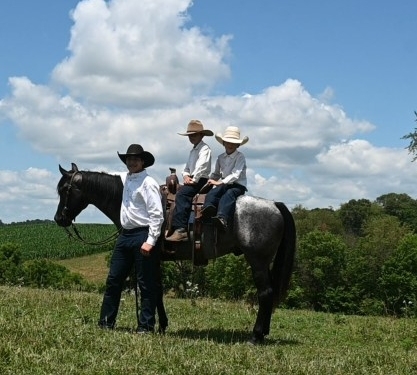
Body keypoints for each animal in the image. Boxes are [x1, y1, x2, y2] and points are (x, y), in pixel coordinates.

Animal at [54, 163, 296, 346]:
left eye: (64, 189)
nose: (58, 219)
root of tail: (275, 204)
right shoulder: (156, 259)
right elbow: (158, 290)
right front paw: (162, 325)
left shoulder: (149, 257)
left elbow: (151, 289)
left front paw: (155, 325)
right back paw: (264, 332)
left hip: (257, 260)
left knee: (265, 292)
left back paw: (255, 336)